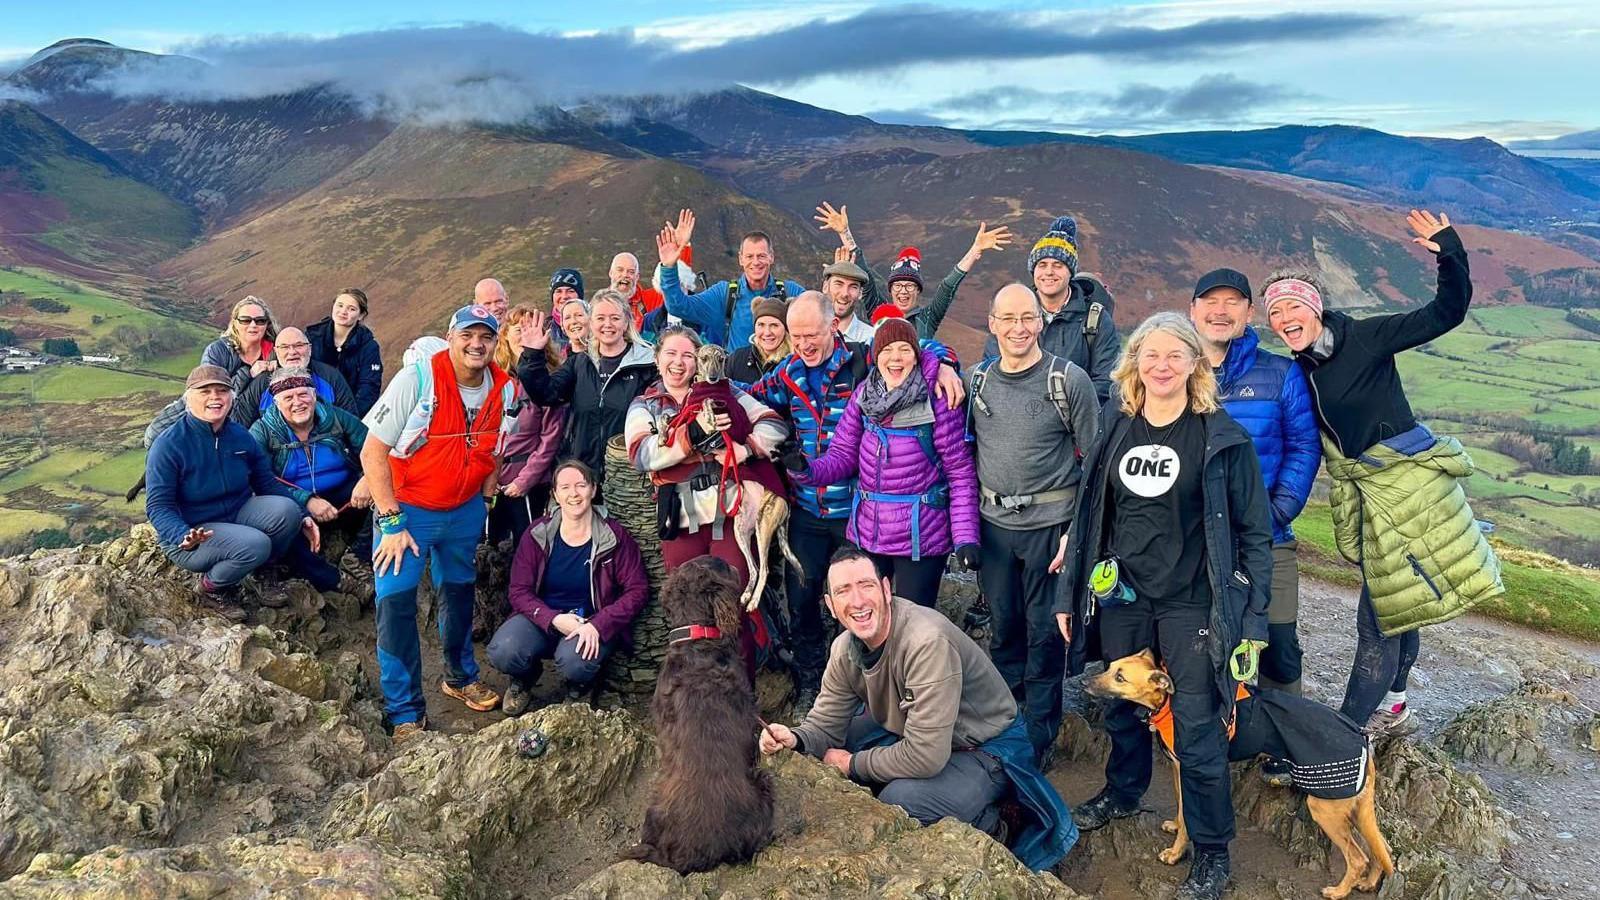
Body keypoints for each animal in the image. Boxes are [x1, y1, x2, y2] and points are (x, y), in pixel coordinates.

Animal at [1081, 646, 1395, 890]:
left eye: (1120, 677)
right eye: (1110, 667)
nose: (1085, 682)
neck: (1169, 701)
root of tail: (1360, 735)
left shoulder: (1190, 772)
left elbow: (1189, 817)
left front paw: (1175, 853)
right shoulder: (1177, 771)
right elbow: (1182, 809)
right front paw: (1176, 827)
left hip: (1326, 808)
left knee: (1358, 857)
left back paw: (1338, 891)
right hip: (1353, 808)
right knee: (1382, 849)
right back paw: (1368, 883)